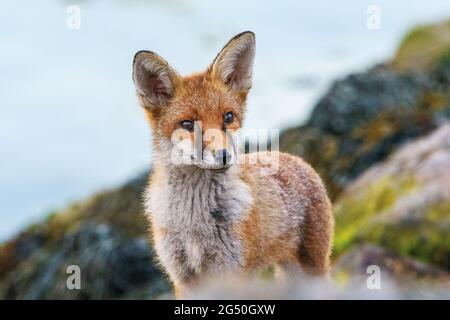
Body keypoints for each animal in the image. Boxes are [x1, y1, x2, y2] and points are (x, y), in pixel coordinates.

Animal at [132, 31, 332, 298]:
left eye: (228, 117)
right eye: (187, 124)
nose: (224, 155)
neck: (195, 223)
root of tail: (296, 159)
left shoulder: (232, 271)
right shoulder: (182, 277)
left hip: (311, 267)